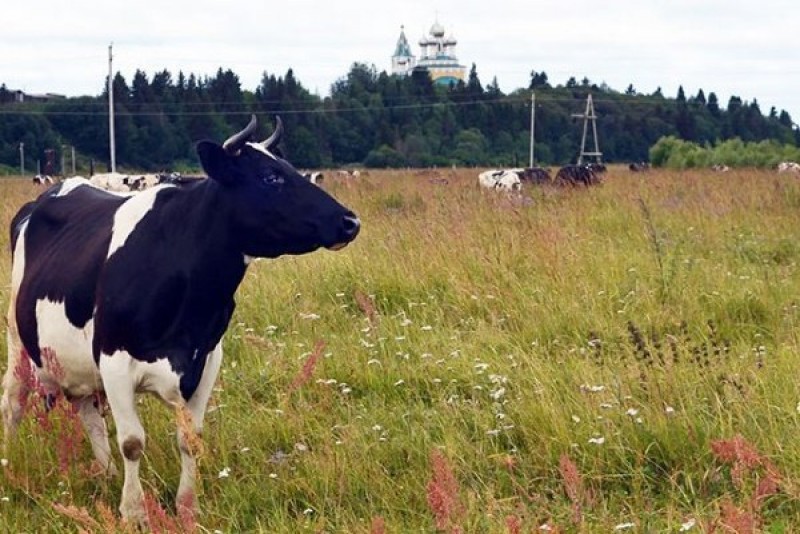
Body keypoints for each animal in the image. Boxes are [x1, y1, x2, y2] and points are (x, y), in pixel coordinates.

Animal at [0, 116, 360, 524]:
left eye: (293, 169)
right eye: (271, 177)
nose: (350, 221)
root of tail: (57, 189)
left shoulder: (206, 359)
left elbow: (190, 440)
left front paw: (188, 507)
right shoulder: (113, 360)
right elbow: (132, 442)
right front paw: (134, 512)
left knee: (88, 412)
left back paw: (106, 474)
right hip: (18, 340)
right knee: (13, 403)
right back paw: (11, 465)